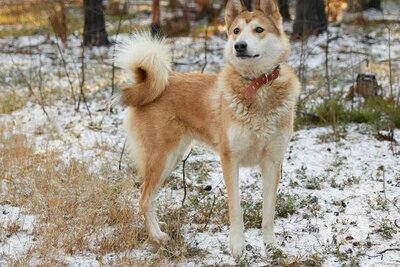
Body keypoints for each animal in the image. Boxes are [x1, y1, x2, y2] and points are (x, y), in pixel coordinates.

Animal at [115, 0, 300, 260]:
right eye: (236, 31)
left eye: (259, 30)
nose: (239, 45)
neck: (257, 86)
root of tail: (145, 84)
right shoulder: (230, 160)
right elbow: (236, 210)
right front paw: (237, 248)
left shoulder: (272, 163)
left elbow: (268, 213)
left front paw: (271, 246)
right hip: (162, 158)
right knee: (143, 198)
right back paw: (157, 237)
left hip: (172, 158)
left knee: (148, 198)